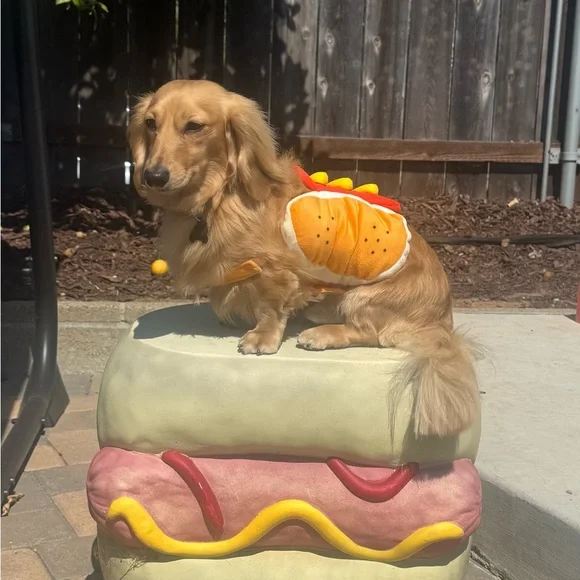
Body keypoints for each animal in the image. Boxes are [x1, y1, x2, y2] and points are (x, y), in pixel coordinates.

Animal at [128, 79, 480, 439]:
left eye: (194, 126)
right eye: (151, 123)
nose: (153, 176)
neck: (221, 196)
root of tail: (442, 322)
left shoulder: (276, 273)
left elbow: (270, 308)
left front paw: (262, 338)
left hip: (365, 297)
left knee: (369, 332)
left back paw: (323, 334)